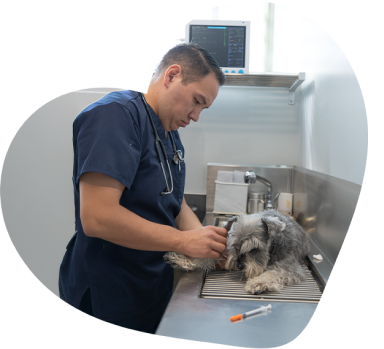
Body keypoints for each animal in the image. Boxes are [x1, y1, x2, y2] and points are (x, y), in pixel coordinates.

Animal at [164, 209, 310, 294]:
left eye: (255, 249)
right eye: (234, 245)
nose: (239, 266)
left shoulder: (289, 267)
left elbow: (274, 273)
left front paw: (258, 283)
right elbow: (207, 255)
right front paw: (182, 260)